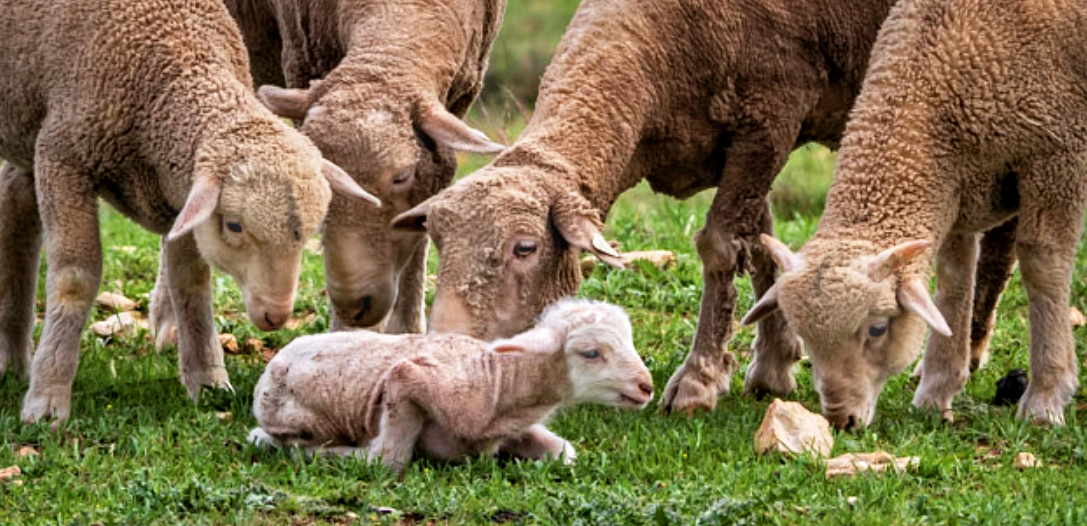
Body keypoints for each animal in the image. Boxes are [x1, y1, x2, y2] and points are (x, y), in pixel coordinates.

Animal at [0, 0, 378, 424]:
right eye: (234, 226)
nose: (276, 317)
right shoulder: (64, 157)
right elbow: (74, 279)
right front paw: (47, 401)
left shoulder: (179, 194)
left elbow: (191, 281)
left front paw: (208, 380)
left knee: (14, 199)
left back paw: (12, 360)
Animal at [148, 0, 508, 345]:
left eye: (402, 176)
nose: (354, 306)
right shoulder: (302, 59)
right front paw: (346, 336)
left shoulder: (461, 95)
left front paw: (404, 329)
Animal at [247, 298, 654, 473]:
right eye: (591, 353)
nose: (646, 387)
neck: (498, 383)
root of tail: (271, 367)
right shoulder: (408, 382)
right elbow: (386, 460)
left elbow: (564, 453)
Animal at [742, 0, 1087, 428]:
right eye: (804, 336)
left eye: (876, 329)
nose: (841, 420)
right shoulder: (957, 187)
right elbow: (954, 281)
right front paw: (936, 391)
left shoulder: (1059, 155)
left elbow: (1043, 265)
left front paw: (1046, 398)